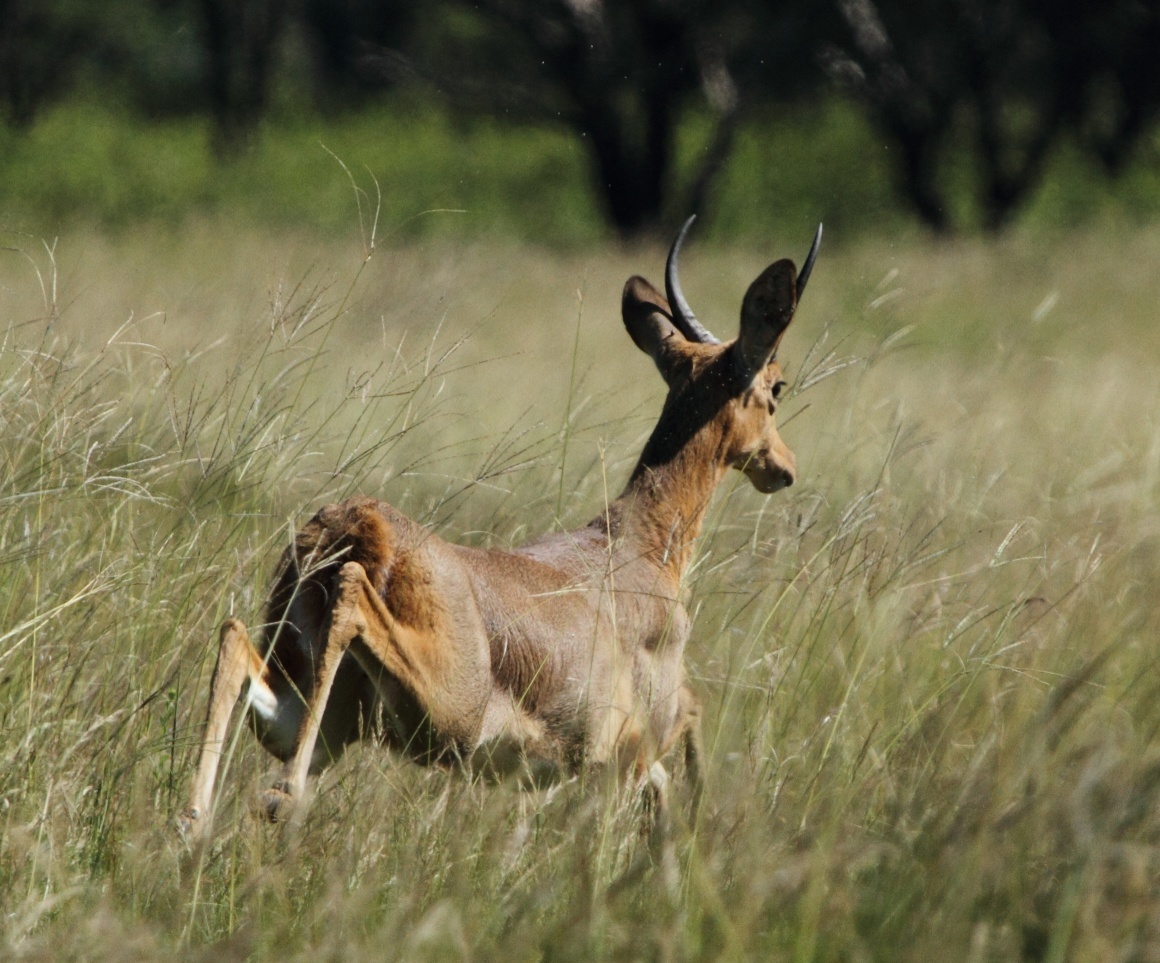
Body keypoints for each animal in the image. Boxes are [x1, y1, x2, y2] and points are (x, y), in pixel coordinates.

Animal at [176, 214, 821, 840]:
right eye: (776, 386)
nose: (784, 467)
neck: (641, 546)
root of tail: (354, 523)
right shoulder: (623, 759)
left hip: (305, 709)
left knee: (233, 636)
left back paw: (194, 821)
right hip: (440, 712)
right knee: (347, 602)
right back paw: (280, 797)